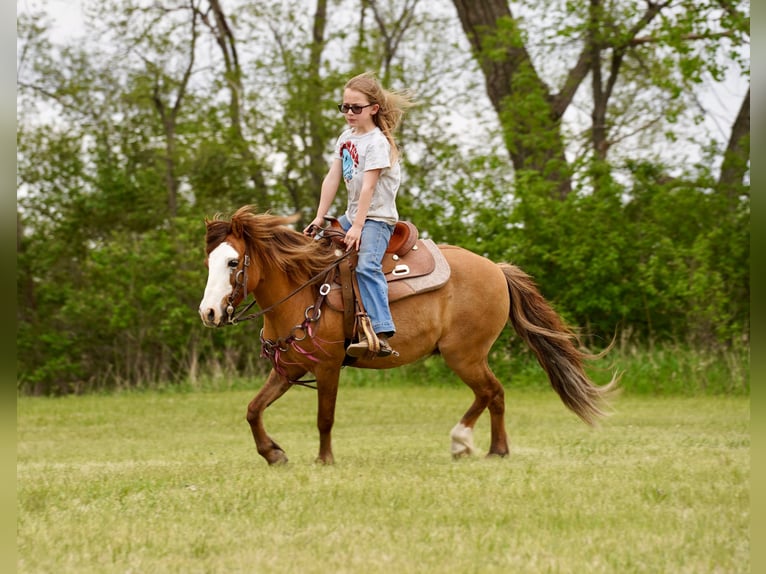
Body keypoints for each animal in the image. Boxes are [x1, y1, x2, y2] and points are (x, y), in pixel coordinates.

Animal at [198, 205, 618, 466]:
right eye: (209, 262)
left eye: (233, 262)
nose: (209, 312)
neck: (304, 289)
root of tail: (496, 269)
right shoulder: (289, 367)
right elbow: (253, 409)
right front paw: (273, 453)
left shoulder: (329, 367)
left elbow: (324, 417)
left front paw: (323, 459)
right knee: (492, 394)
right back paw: (484, 447)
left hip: (464, 354)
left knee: (491, 391)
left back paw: (475, 444)